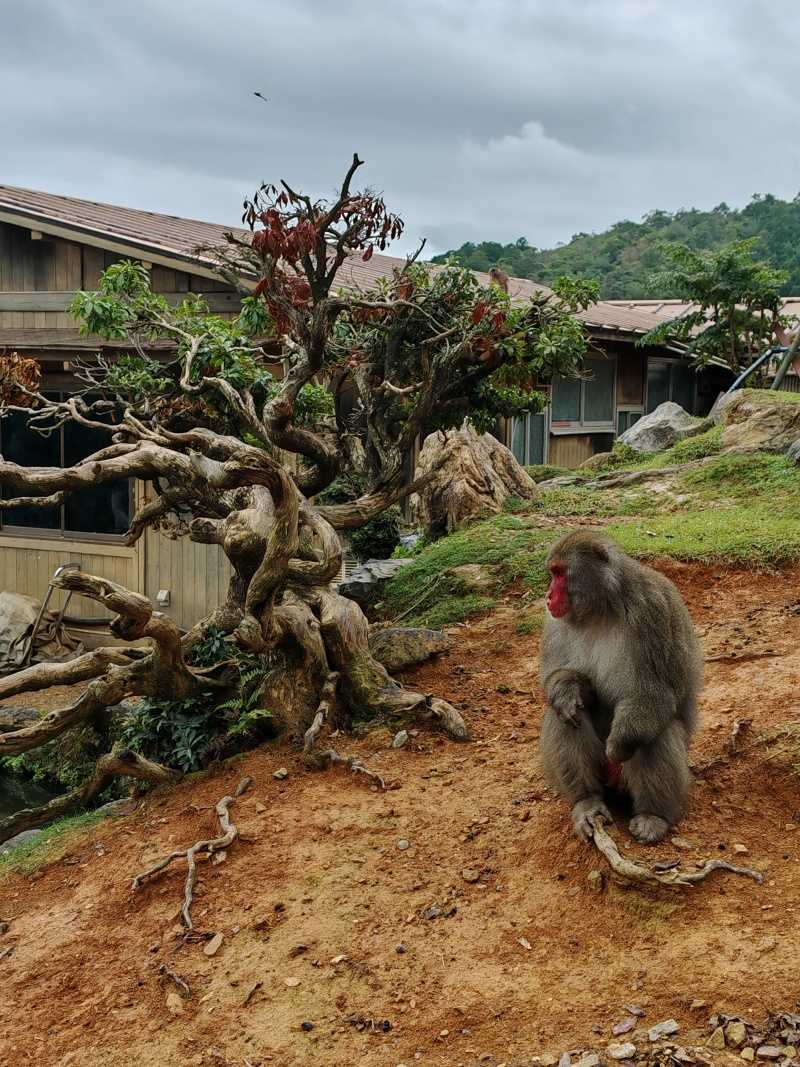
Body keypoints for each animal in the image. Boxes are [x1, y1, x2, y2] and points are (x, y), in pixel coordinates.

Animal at [538, 531, 703, 844]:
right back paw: (587, 802)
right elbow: (553, 679)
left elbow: (654, 694)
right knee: (563, 718)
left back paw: (653, 817)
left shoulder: (651, 610)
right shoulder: (554, 624)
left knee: (657, 730)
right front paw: (568, 690)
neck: (601, 609)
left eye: (560, 573)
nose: (549, 596)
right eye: (552, 573)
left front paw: (618, 745)